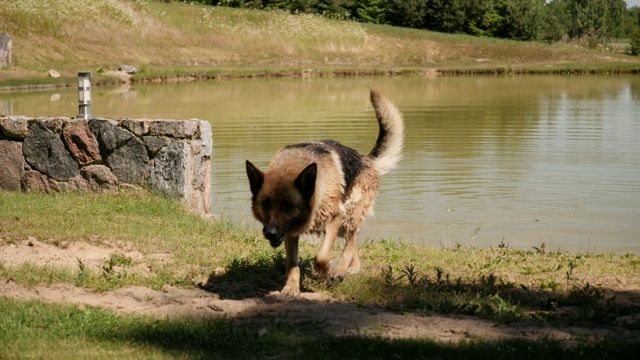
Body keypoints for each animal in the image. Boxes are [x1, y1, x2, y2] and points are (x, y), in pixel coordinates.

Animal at [246, 90, 402, 296]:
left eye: (287, 205)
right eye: (265, 203)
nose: (270, 233)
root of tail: (366, 160)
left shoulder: (335, 217)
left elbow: (321, 257)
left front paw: (324, 271)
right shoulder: (290, 233)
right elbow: (292, 264)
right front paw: (291, 288)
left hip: (348, 216)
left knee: (350, 242)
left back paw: (341, 270)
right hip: (344, 224)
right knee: (355, 240)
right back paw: (353, 267)